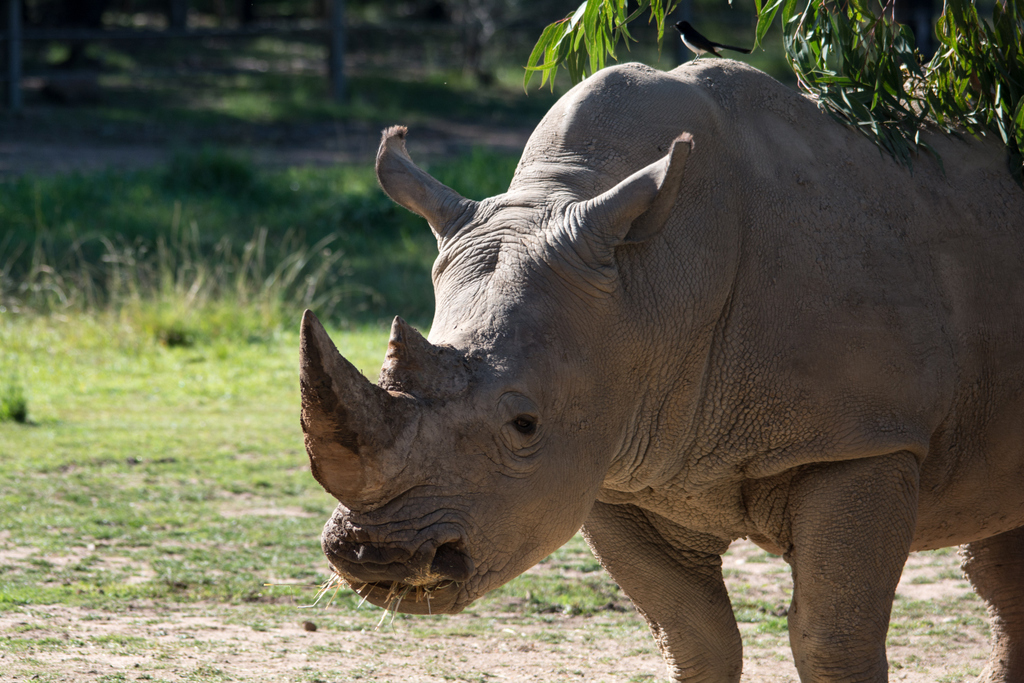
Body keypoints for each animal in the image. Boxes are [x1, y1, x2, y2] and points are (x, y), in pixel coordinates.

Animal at [298, 60, 1024, 682]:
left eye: (525, 425)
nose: (378, 555)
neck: (649, 284)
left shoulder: (865, 439)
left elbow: (832, 639)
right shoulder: (615, 465)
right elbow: (693, 636)